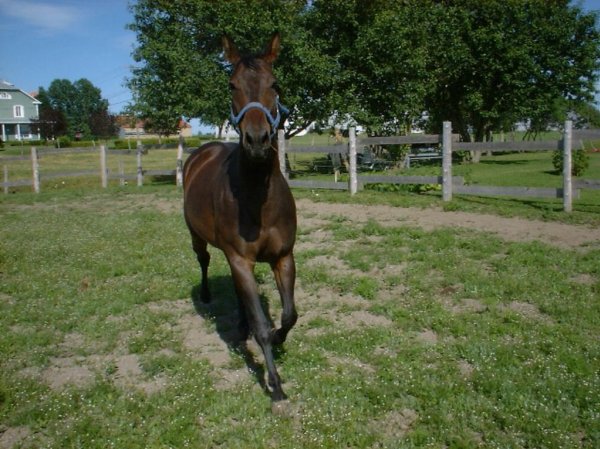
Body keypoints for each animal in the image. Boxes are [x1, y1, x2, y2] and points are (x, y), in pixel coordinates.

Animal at [182, 33, 296, 400]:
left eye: (275, 84)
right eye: (232, 85)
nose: (257, 140)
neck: (259, 200)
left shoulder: (283, 256)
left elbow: (289, 315)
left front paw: (278, 337)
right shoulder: (241, 259)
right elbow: (262, 325)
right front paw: (274, 384)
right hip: (197, 237)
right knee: (203, 261)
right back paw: (207, 296)